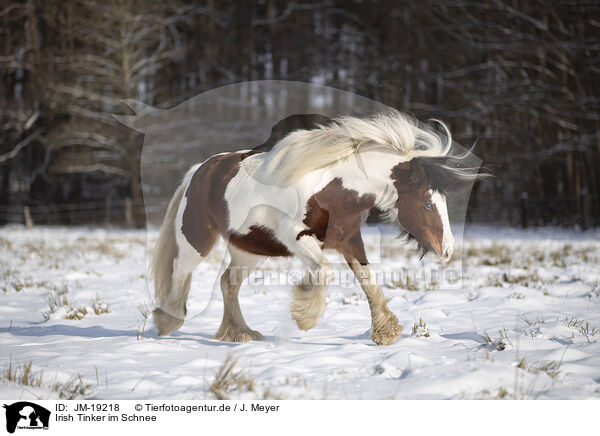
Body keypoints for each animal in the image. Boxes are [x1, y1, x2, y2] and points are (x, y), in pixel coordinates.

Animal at [152, 110, 486, 346]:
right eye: (428, 204)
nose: (448, 250)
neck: (331, 187)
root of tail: (200, 170)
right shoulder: (296, 237)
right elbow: (324, 270)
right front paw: (305, 316)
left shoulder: (350, 239)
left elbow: (367, 279)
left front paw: (386, 332)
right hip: (197, 240)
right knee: (181, 273)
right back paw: (168, 321)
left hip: (250, 247)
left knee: (228, 283)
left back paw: (239, 333)